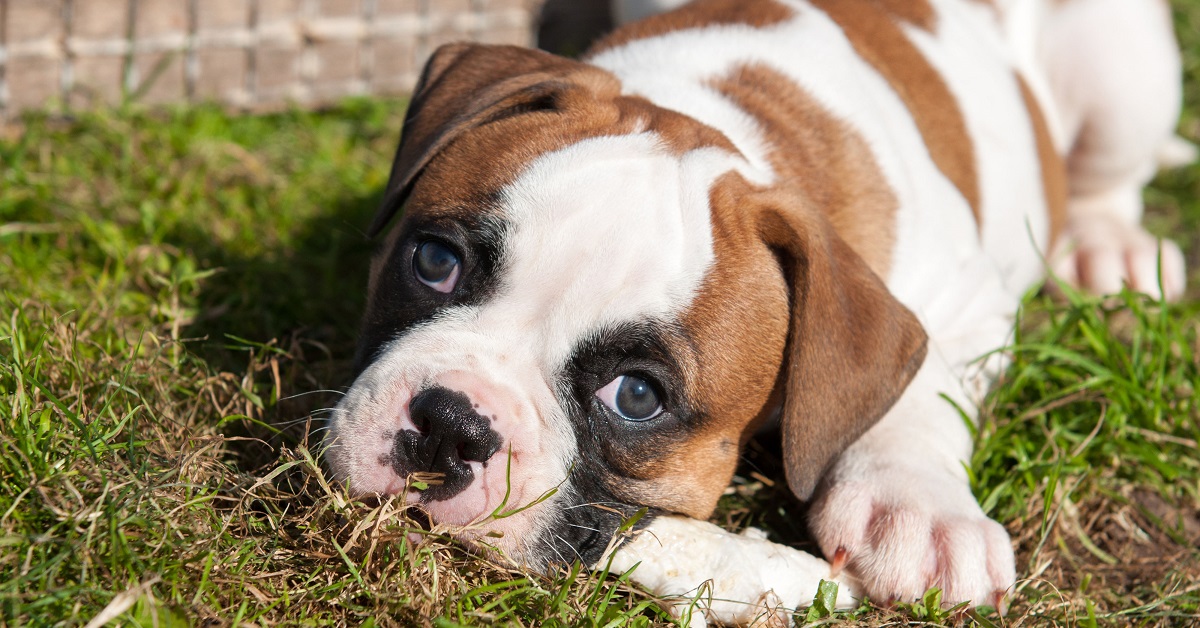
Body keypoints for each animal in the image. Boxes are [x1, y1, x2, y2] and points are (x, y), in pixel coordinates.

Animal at [321, 0, 1190, 619]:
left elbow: (921, 388)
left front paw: (916, 508)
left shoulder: (967, 301)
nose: (451, 424)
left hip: (1122, 69)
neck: (730, 118)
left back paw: (1109, 248)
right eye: (435, 262)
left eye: (637, 396)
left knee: (1110, 178)